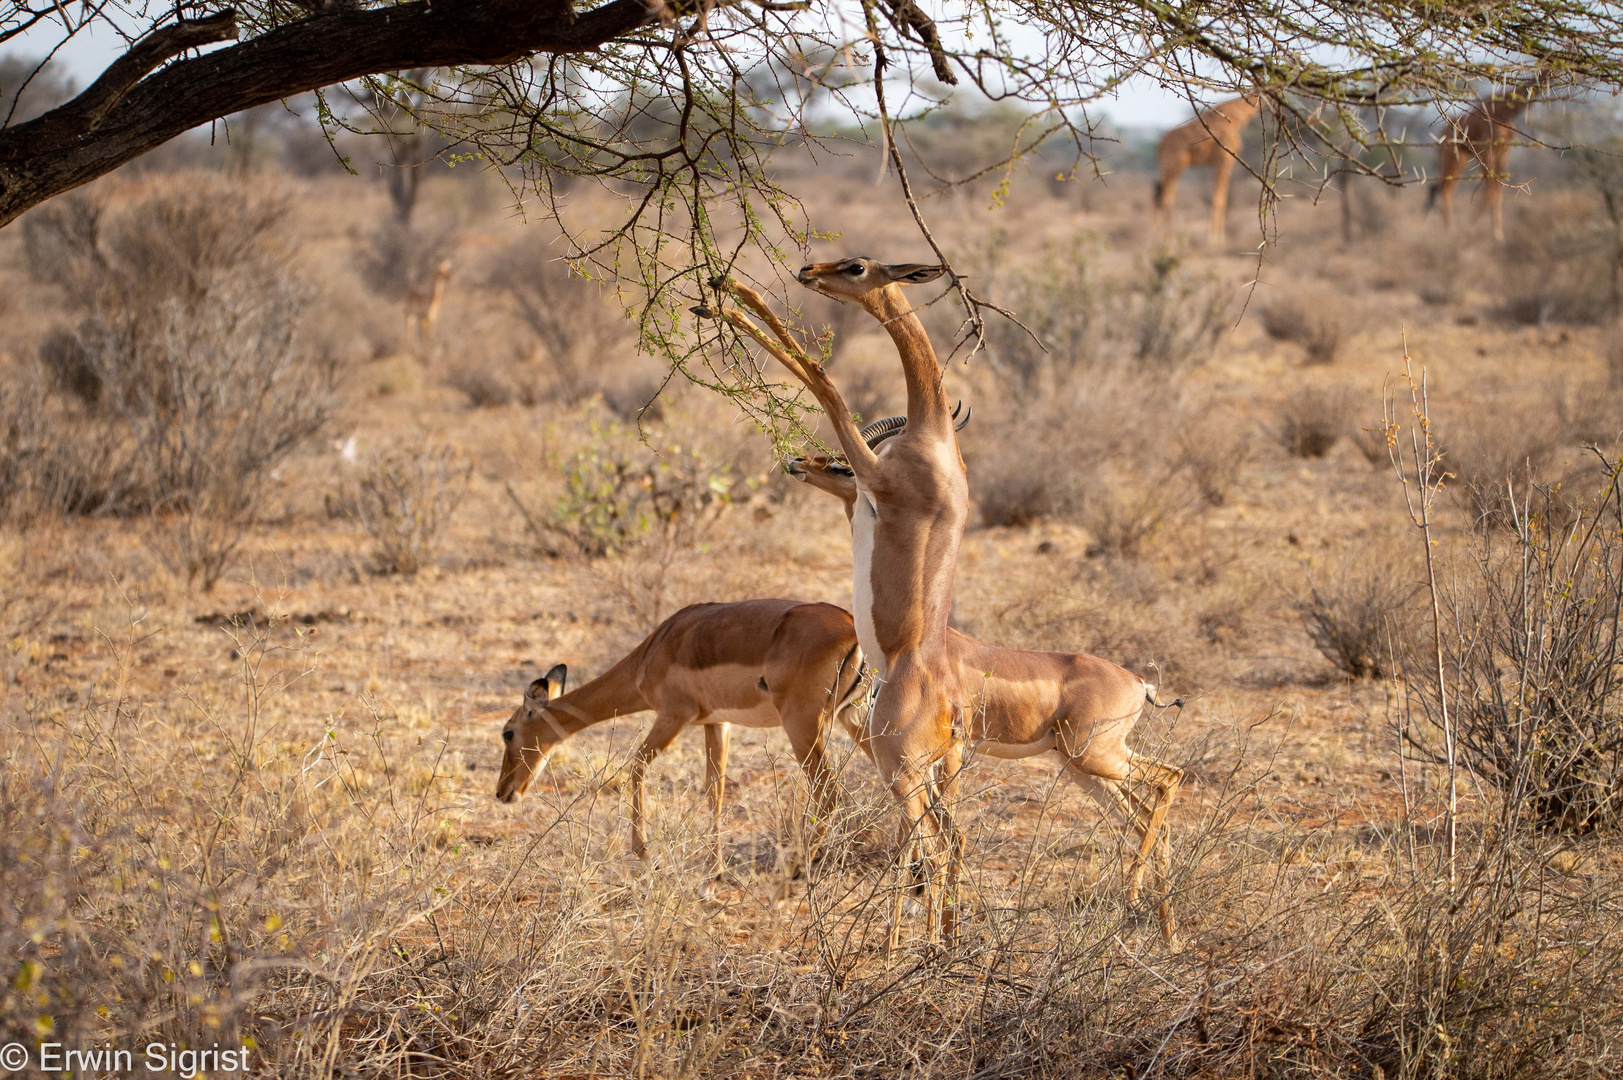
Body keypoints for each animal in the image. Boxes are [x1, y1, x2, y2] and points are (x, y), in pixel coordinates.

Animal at [1155, 95, 1265, 243]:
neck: (1238, 116)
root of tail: (1160, 146)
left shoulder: (1220, 162)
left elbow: (1219, 198)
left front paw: (1217, 238)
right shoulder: (1224, 160)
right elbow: (1219, 199)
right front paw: (1216, 240)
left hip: (1167, 168)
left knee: (1160, 196)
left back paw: (1155, 239)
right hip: (1173, 166)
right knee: (1165, 198)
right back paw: (1165, 240)